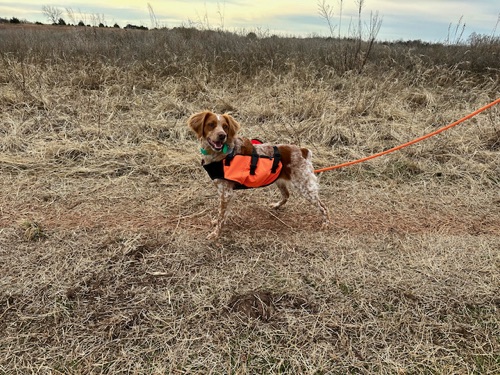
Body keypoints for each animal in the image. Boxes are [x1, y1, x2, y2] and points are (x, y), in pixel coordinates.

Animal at [187, 111, 328, 241]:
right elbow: (223, 213)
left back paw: (325, 223)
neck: (221, 155)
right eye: (211, 124)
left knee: (323, 207)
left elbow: (221, 215)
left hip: (305, 187)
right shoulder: (225, 192)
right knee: (286, 195)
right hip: (279, 180)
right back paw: (276, 205)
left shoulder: (226, 193)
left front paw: (216, 233)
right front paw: (217, 223)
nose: (222, 136)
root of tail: (302, 150)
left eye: (225, 126)